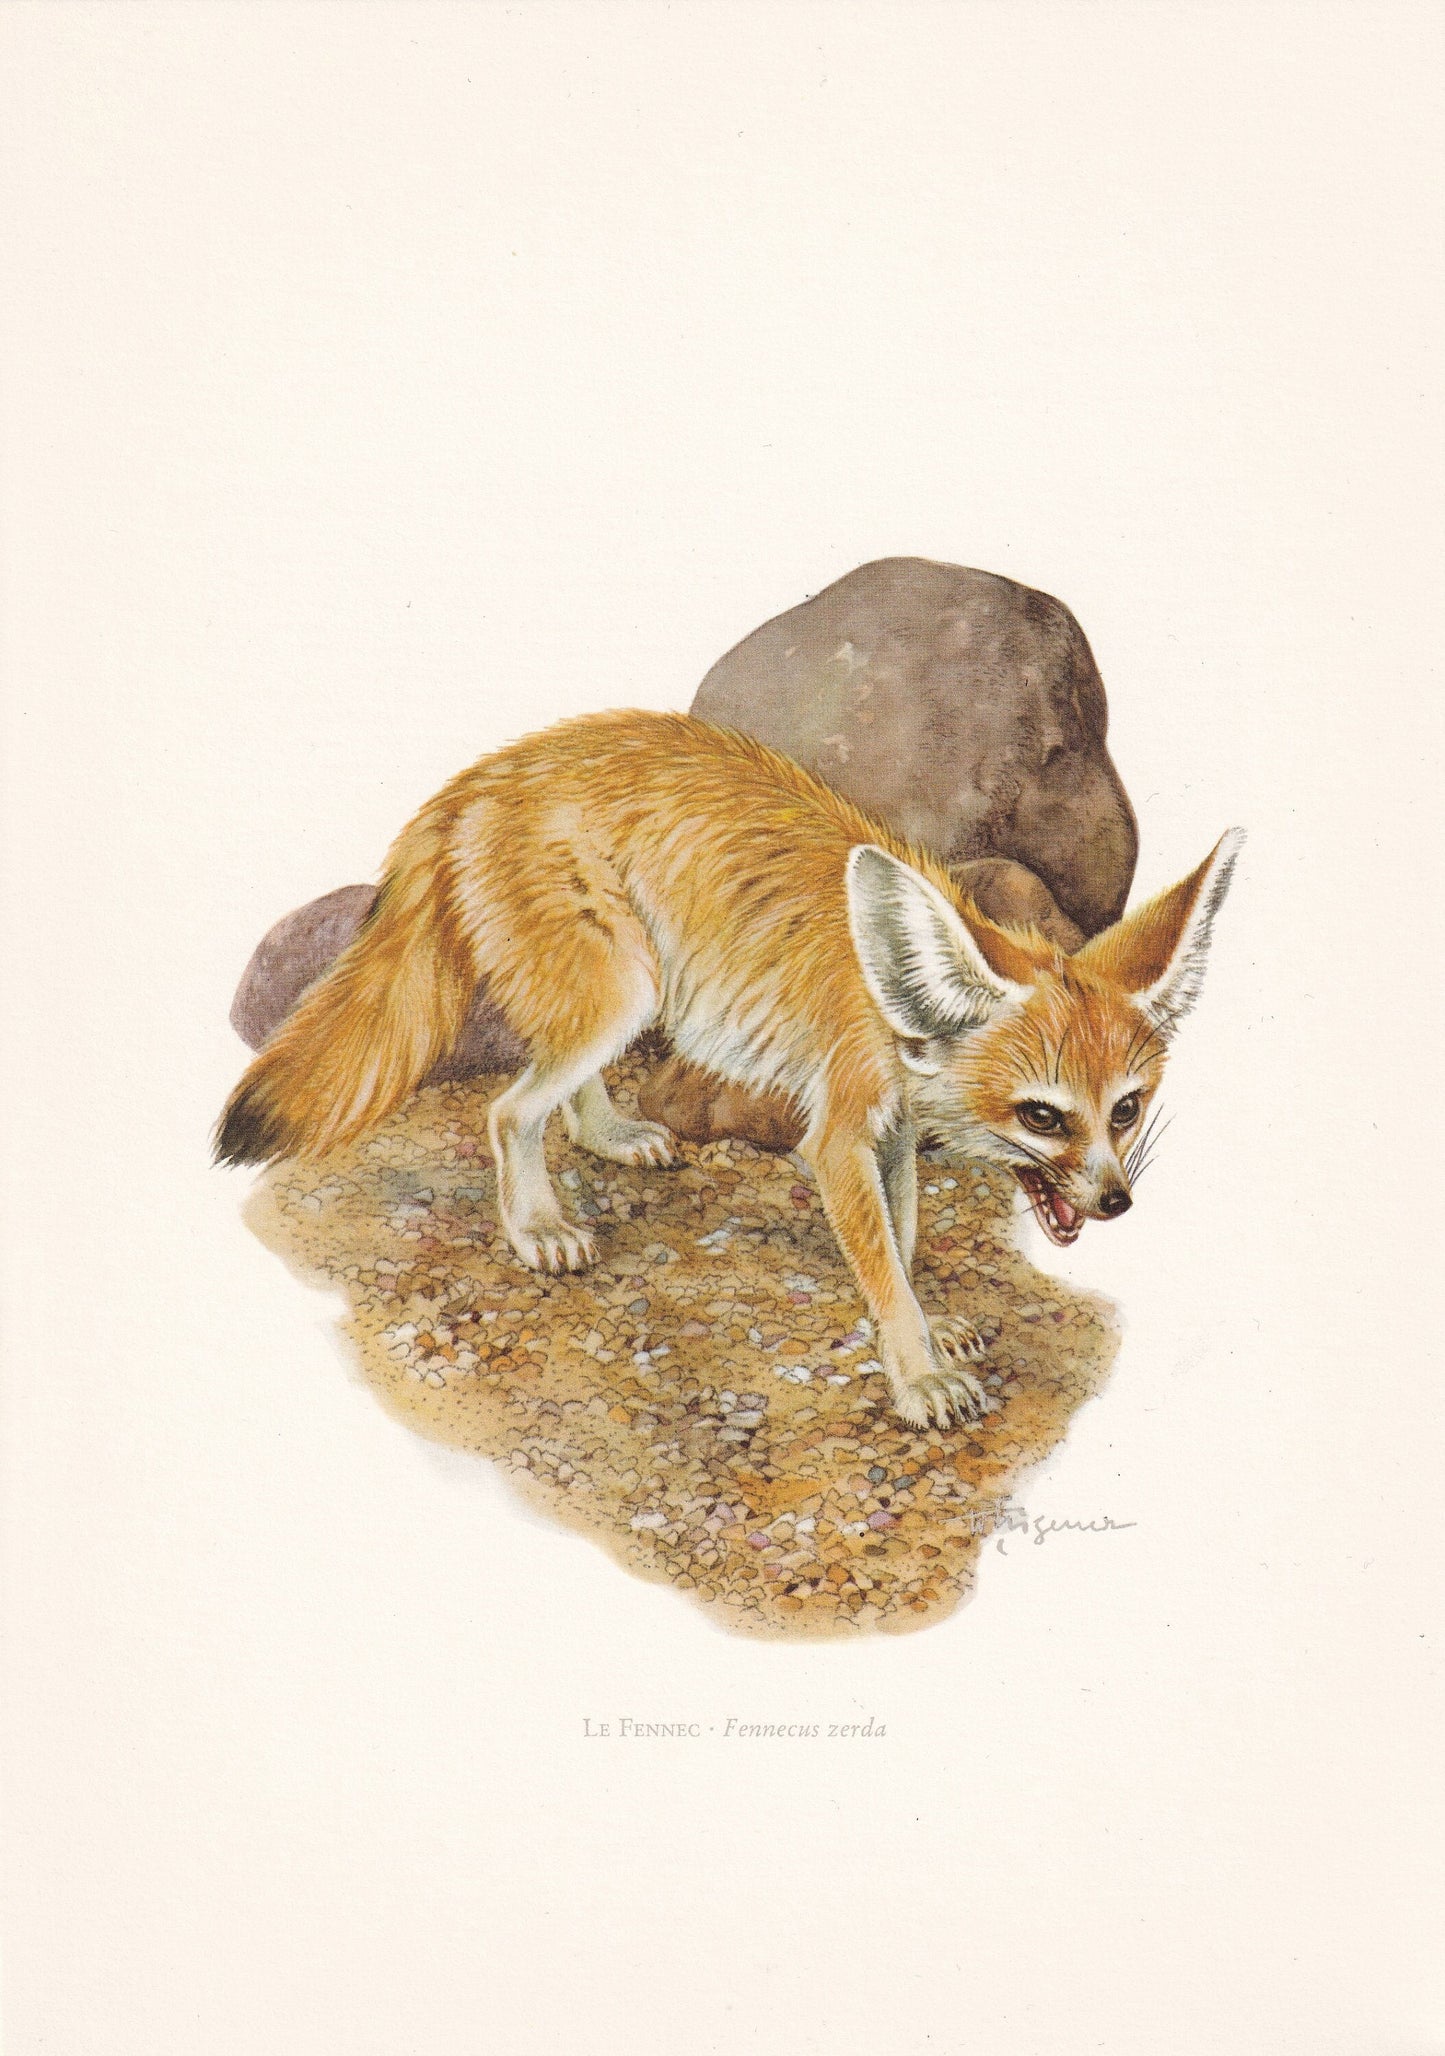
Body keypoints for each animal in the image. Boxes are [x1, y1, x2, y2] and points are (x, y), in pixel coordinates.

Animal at [215, 709, 1241, 1431]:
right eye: (1042, 1116)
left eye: (1124, 1110)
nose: (1116, 1202)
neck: (890, 999)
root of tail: (487, 769)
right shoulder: (838, 1136)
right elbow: (880, 1261)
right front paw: (918, 1374)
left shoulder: (893, 1132)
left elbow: (904, 1240)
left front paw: (927, 1318)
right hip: (619, 987)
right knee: (509, 1111)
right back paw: (537, 1225)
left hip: (631, 988)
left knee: (558, 1089)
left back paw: (611, 1136)